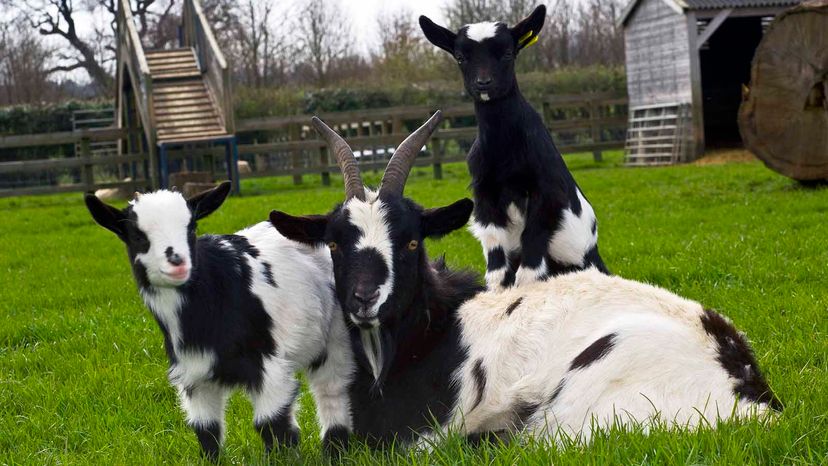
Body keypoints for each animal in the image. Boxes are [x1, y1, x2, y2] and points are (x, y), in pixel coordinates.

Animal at [84, 183, 352, 458]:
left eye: (191, 228)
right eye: (137, 236)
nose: (177, 262)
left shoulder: (270, 366)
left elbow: (273, 425)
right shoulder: (194, 374)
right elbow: (206, 431)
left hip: (336, 337)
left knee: (331, 389)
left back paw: (335, 450)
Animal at [268, 113, 780, 448]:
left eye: (412, 242)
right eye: (334, 244)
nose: (365, 299)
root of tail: (751, 395)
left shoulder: (426, 433)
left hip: (582, 401)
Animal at [420, 4, 608, 292]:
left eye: (508, 53)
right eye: (460, 57)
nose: (483, 83)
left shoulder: (547, 193)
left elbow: (530, 262)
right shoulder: (484, 195)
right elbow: (497, 267)